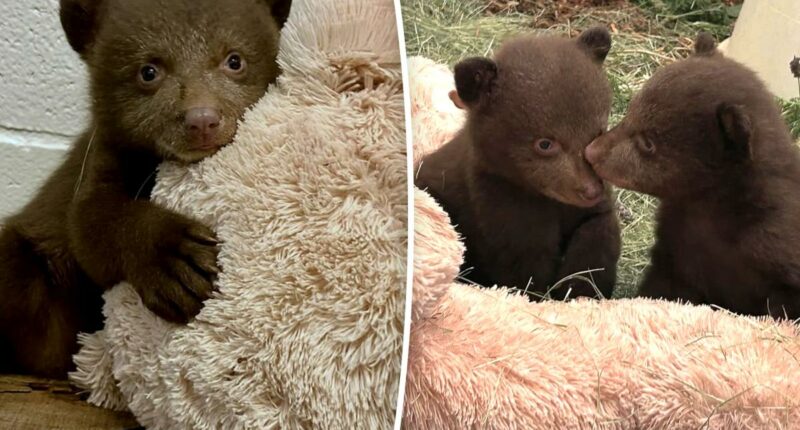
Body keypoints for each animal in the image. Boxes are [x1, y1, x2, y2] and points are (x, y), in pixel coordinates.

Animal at [0, 0, 291, 377]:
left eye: (234, 60)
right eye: (148, 71)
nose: (202, 120)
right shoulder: (101, 158)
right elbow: (89, 223)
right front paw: (176, 262)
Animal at [415, 27, 622, 301]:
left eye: (598, 131)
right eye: (545, 144)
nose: (591, 190)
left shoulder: (587, 210)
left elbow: (597, 233)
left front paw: (581, 290)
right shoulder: (502, 208)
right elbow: (524, 267)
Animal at [585, 32, 800, 319]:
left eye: (648, 143)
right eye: (630, 113)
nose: (591, 152)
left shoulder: (776, 245)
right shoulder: (676, 245)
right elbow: (665, 284)